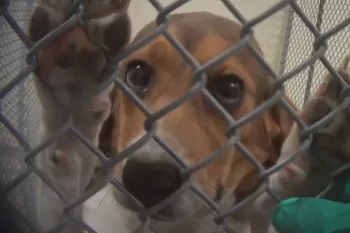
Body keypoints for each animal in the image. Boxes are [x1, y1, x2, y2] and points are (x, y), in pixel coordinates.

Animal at [250, 55, 350, 233]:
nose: (341, 77)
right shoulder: (304, 127)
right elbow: (311, 118)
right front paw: (320, 108)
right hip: (264, 201)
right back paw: (288, 175)